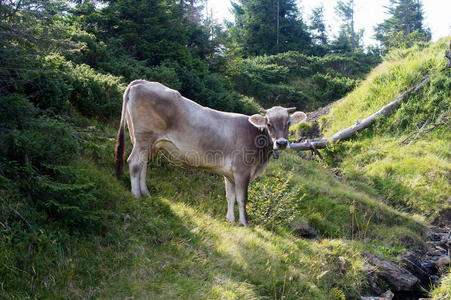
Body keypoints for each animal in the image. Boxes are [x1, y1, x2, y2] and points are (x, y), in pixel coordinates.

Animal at [116, 79, 308, 225]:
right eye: (268, 123)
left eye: (288, 123)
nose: (281, 143)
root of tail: (143, 82)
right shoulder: (242, 171)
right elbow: (242, 198)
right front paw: (244, 223)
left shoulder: (229, 174)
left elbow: (230, 197)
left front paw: (230, 220)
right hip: (144, 138)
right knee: (134, 163)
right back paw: (136, 195)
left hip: (145, 142)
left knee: (143, 165)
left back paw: (145, 194)